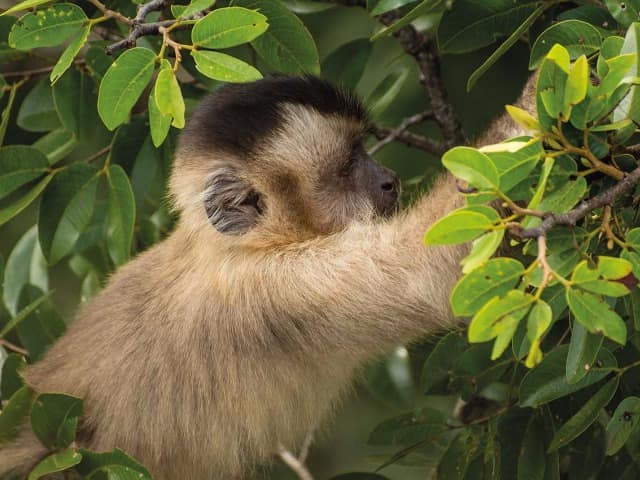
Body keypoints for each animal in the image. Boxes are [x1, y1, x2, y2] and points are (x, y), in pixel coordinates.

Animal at [0, 73, 536, 478]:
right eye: (347, 167)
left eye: (364, 149)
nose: (389, 180)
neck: (229, 248)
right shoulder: (276, 289)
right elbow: (434, 272)